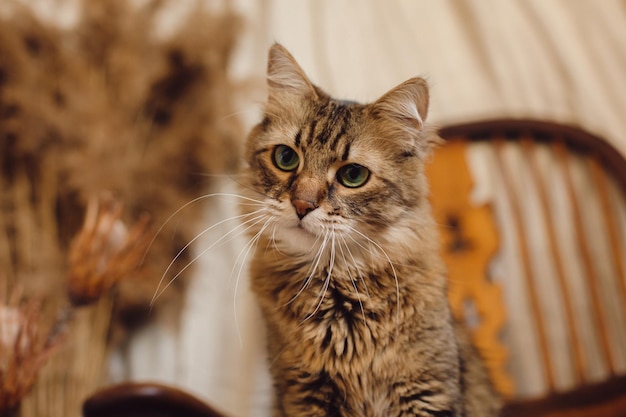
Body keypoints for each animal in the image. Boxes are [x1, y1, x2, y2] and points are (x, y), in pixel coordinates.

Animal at [239, 44, 498, 414]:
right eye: (286, 158)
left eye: (353, 176)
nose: (302, 205)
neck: (335, 290)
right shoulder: (303, 392)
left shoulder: (427, 389)